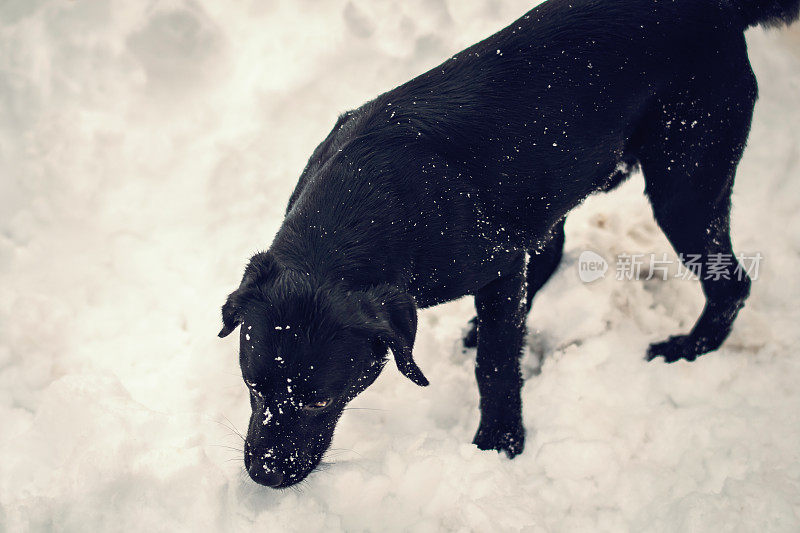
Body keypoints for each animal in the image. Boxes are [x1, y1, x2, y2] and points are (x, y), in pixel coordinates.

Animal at [219, 0, 800, 488]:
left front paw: (499, 441)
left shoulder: (497, 266)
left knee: (732, 282)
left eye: (321, 401)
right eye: (252, 386)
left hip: (686, 180)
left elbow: (497, 365)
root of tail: (718, 9)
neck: (366, 200)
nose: (265, 474)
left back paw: (690, 349)